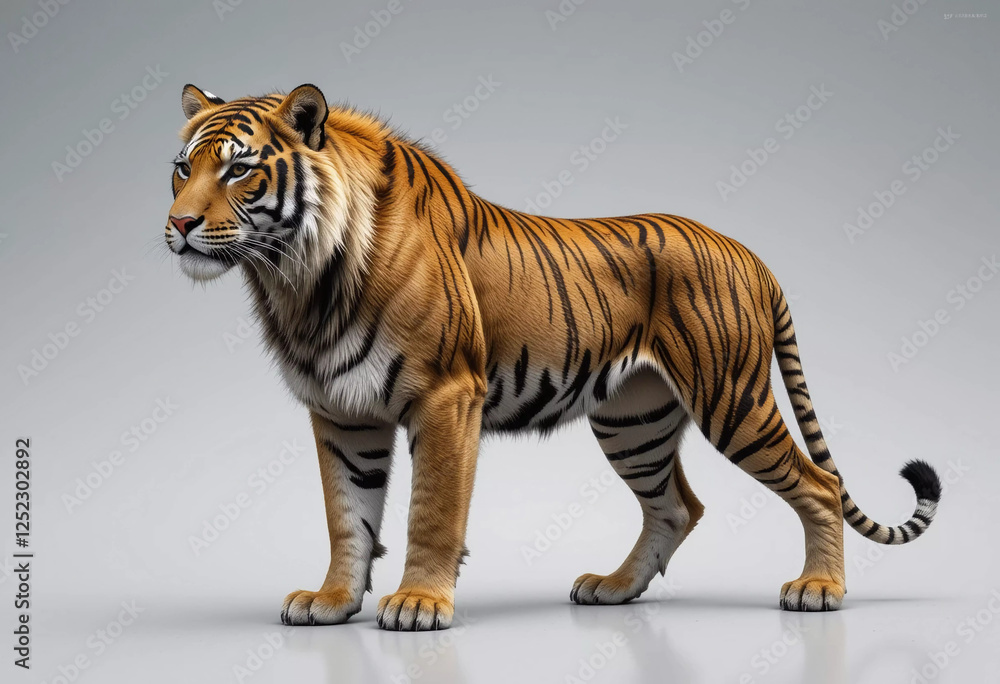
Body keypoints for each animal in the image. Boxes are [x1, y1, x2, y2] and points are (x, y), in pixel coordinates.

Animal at [165, 83, 941, 631]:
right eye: (181, 168)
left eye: (237, 171)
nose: (178, 223)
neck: (299, 278)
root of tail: (750, 254)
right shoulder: (341, 411)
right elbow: (345, 514)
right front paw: (330, 601)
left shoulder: (446, 396)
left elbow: (431, 512)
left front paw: (419, 604)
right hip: (634, 422)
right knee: (676, 506)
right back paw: (614, 589)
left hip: (730, 398)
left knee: (817, 483)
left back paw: (819, 591)